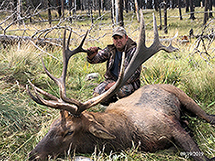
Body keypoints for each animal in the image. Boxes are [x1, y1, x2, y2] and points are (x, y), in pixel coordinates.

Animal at [26, 13, 215, 161]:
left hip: (185, 97)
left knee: (208, 116)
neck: (129, 133)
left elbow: (200, 156)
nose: (33, 155)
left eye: (69, 132)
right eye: (51, 125)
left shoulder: (171, 126)